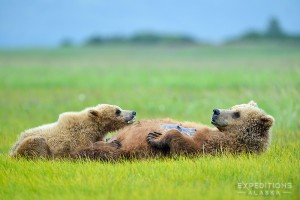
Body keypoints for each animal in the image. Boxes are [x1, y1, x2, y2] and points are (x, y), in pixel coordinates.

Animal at [73, 101, 274, 160]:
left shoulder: (218, 147)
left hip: (124, 152)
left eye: (237, 114)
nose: (216, 111)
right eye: (234, 107)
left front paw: (156, 136)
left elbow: (186, 148)